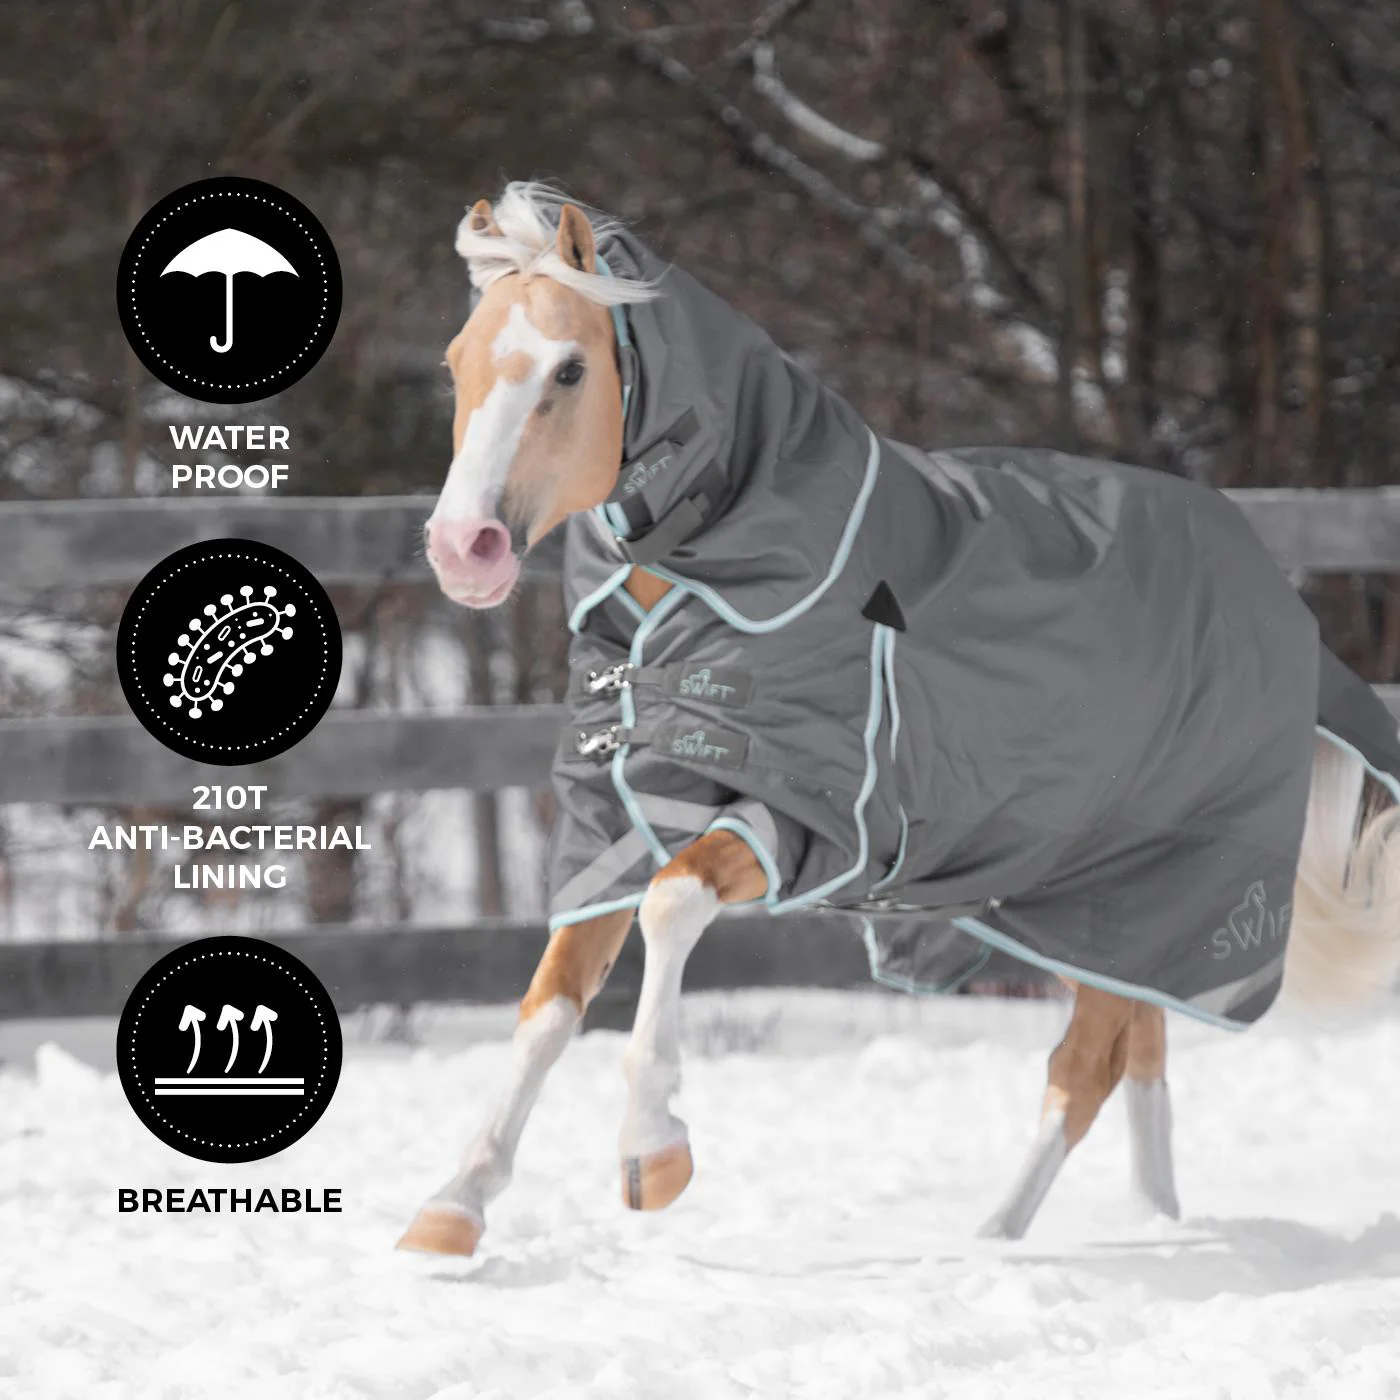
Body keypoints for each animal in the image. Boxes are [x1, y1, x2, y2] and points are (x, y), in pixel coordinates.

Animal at [398, 182, 1400, 1257]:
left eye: (570, 368)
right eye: (456, 363)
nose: (464, 547)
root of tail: (1277, 596)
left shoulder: (818, 822)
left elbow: (672, 906)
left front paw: (653, 1155)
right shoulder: (617, 816)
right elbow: (549, 1003)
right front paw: (451, 1209)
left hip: (1165, 889)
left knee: (1083, 1072)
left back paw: (992, 1241)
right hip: (1107, 912)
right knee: (1142, 1050)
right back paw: (1155, 1221)